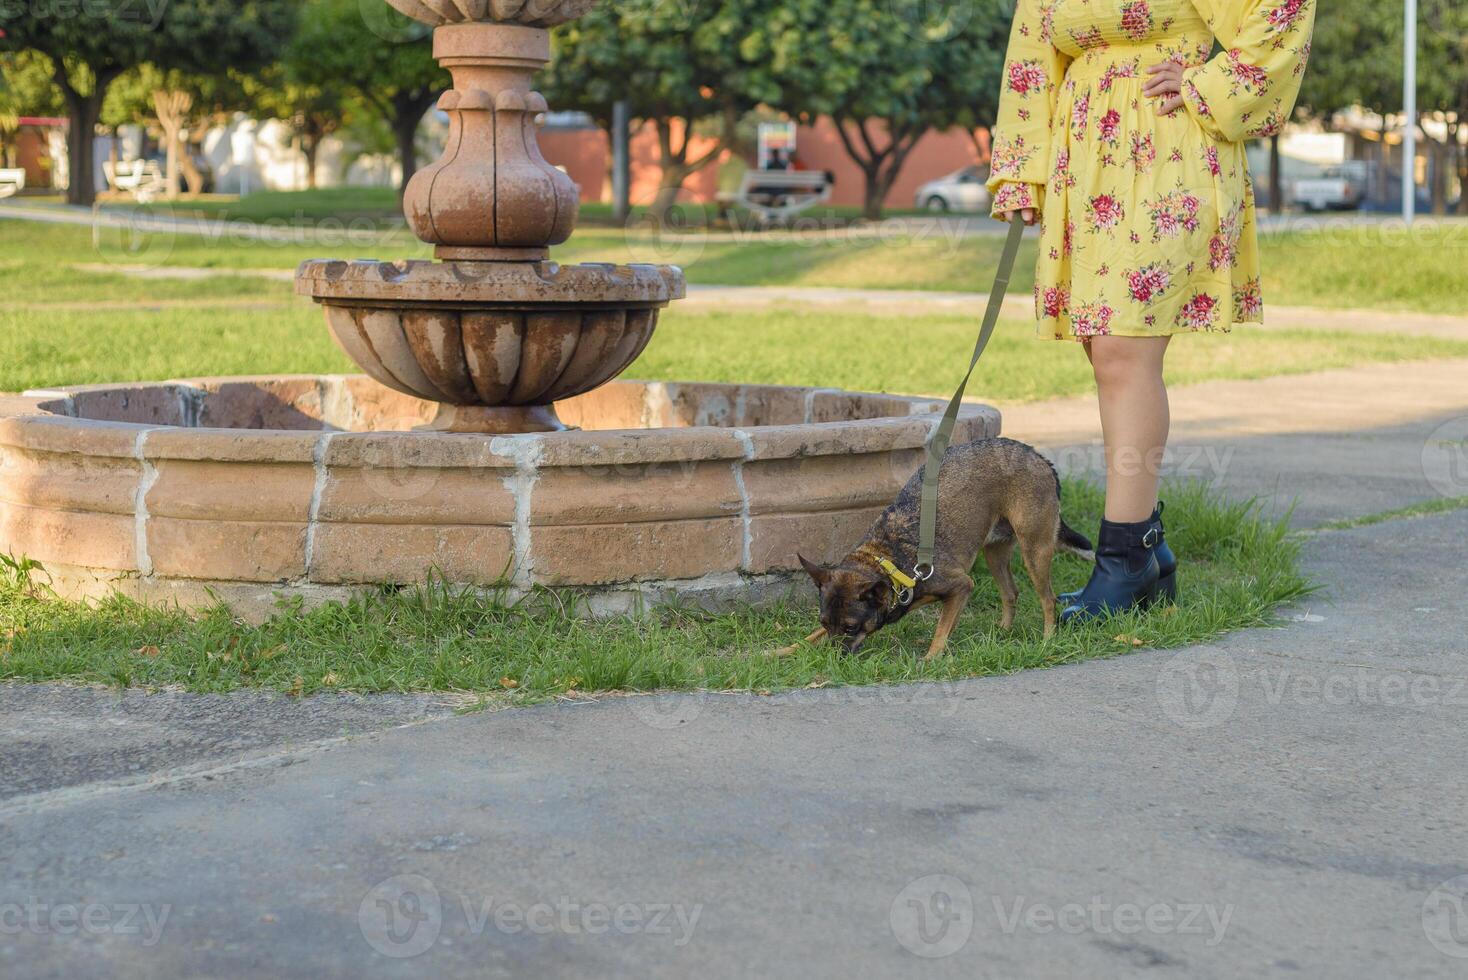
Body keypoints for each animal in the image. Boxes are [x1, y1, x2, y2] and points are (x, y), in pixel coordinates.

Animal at [780, 443, 1092, 657]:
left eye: (850, 627)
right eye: (826, 622)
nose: (831, 659)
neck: (889, 559)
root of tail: (1037, 456)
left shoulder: (961, 586)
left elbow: (941, 630)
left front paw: (931, 658)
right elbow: (811, 636)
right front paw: (786, 650)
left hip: (1034, 549)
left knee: (1048, 599)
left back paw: (1048, 640)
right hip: (995, 552)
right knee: (1010, 592)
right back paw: (1003, 632)